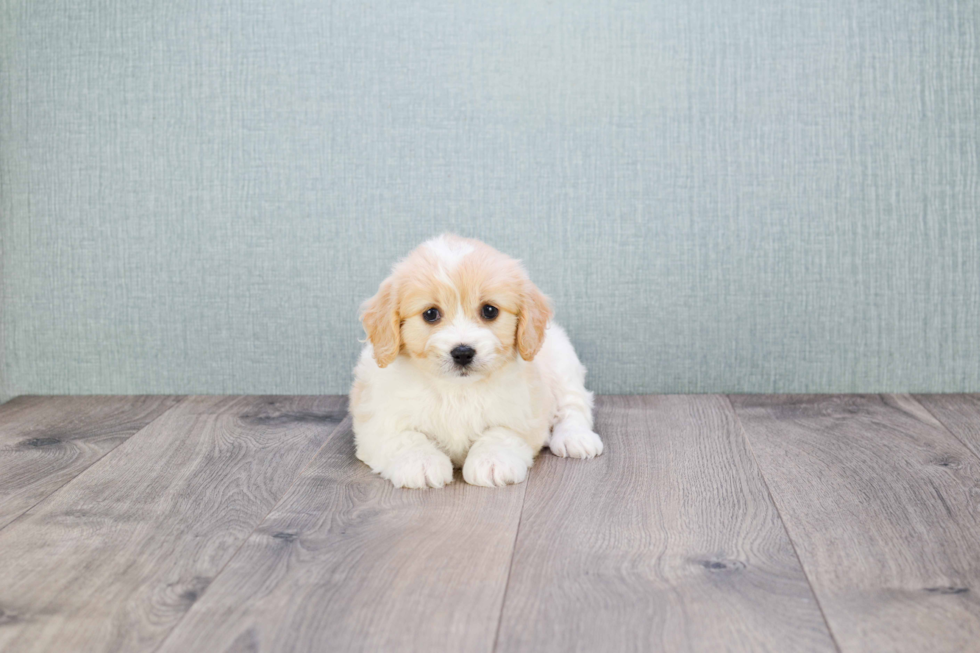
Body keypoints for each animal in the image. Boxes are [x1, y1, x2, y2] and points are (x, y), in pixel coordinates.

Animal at [348, 233, 600, 484]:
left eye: (489, 310)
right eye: (430, 314)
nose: (463, 352)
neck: (457, 390)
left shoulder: (522, 413)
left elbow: (500, 432)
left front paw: (492, 461)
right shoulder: (378, 422)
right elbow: (405, 438)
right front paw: (420, 462)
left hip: (562, 360)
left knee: (574, 404)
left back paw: (576, 438)